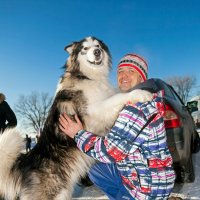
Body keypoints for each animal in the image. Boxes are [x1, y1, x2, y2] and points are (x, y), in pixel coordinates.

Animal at [0, 36, 151, 199]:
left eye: (98, 46)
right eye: (85, 48)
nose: (97, 52)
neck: (88, 77)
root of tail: (27, 160)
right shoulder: (94, 113)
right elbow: (117, 98)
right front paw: (141, 93)